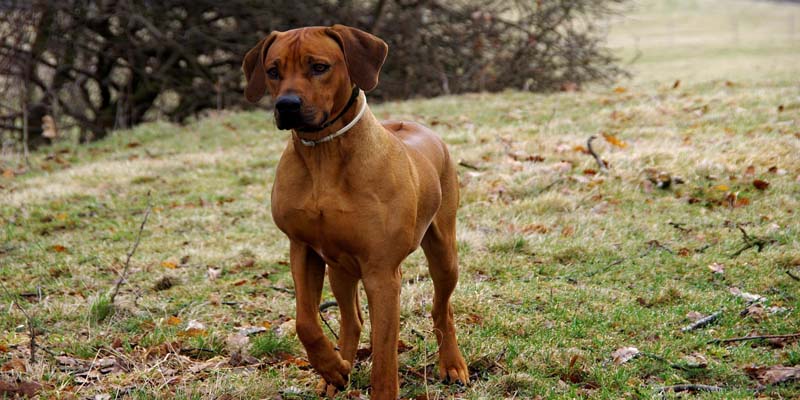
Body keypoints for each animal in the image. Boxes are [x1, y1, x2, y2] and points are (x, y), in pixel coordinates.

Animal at [242, 25, 468, 400]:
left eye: (319, 67)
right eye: (273, 71)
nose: (286, 105)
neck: (324, 152)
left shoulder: (382, 271)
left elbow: (385, 358)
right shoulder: (303, 248)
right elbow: (305, 321)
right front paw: (332, 367)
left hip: (443, 251)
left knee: (441, 307)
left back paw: (452, 364)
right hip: (341, 268)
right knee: (352, 320)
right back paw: (335, 374)